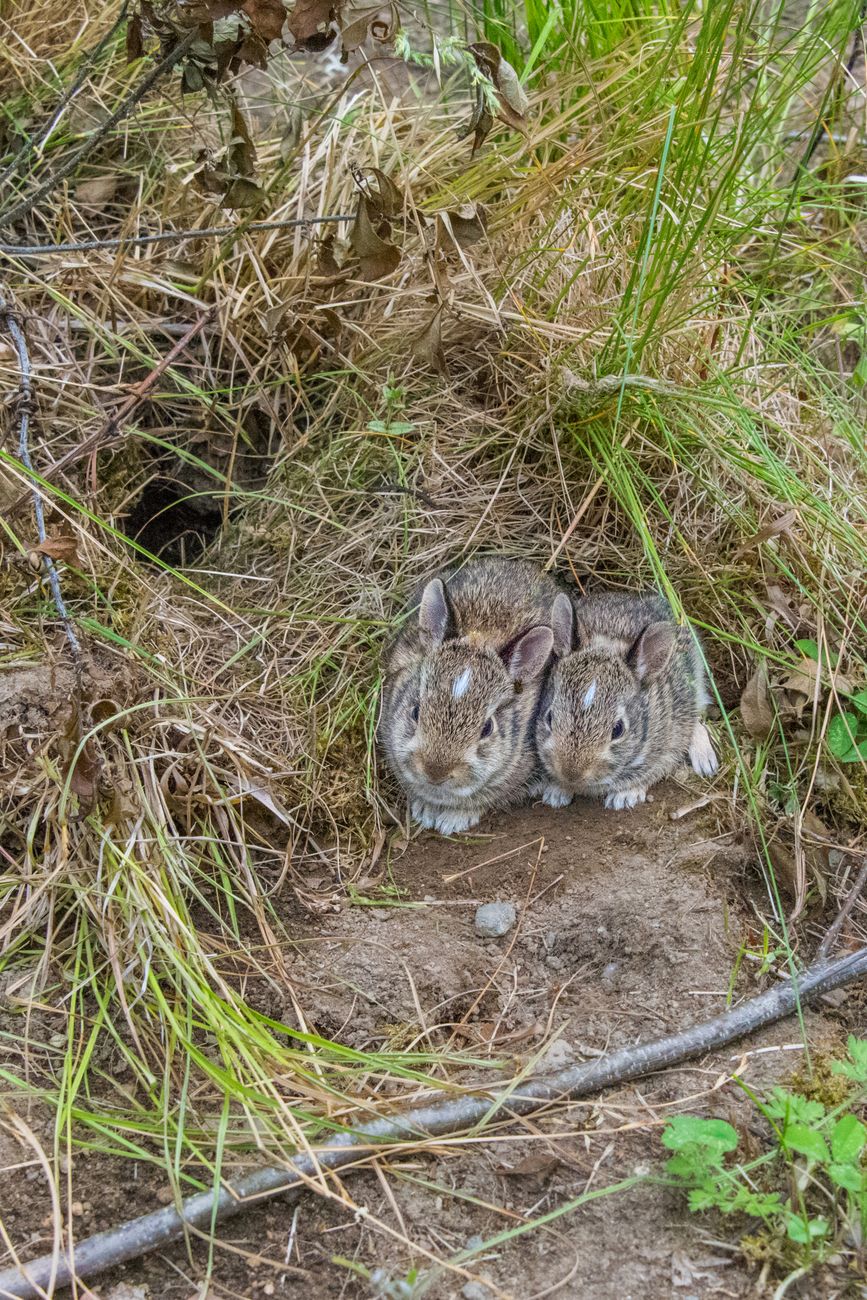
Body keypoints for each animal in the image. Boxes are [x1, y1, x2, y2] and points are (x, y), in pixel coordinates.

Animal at [379, 557, 559, 835]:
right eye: (416, 712)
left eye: (487, 728)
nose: (435, 772)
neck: (482, 635)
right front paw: (426, 810)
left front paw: (452, 820)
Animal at [533, 590, 718, 811]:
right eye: (549, 717)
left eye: (618, 730)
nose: (571, 773)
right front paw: (557, 793)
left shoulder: (669, 742)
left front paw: (624, 797)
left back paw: (705, 762)